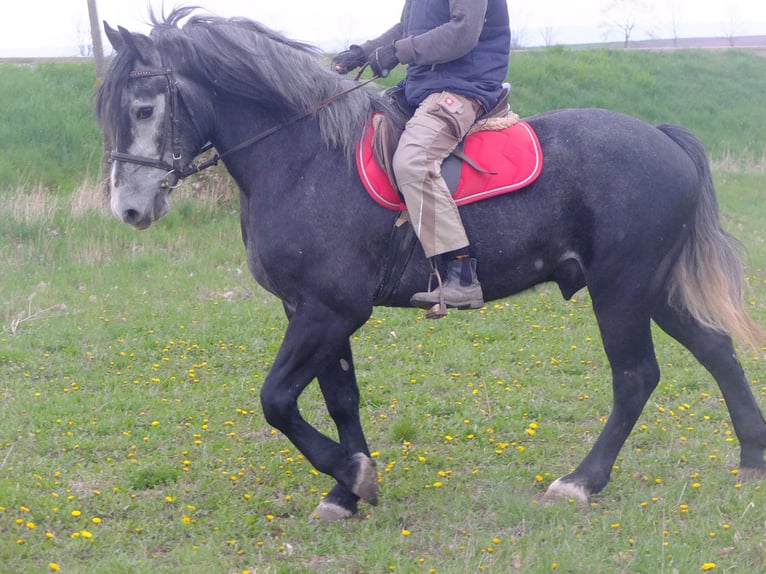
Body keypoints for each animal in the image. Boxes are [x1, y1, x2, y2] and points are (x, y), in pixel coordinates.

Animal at [97, 8, 766, 521]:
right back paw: (752, 458)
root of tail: (661, 136)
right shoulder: (313, 312)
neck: (306, 156)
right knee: (716, 350)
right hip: (651, 287)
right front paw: (346, 492)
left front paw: (353, 476)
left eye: (144, 109)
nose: (128, 208)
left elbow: (276, 400)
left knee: (635, 378)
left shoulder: (329, 311)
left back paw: (581, 481)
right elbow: (341, 399)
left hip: (622, 289)